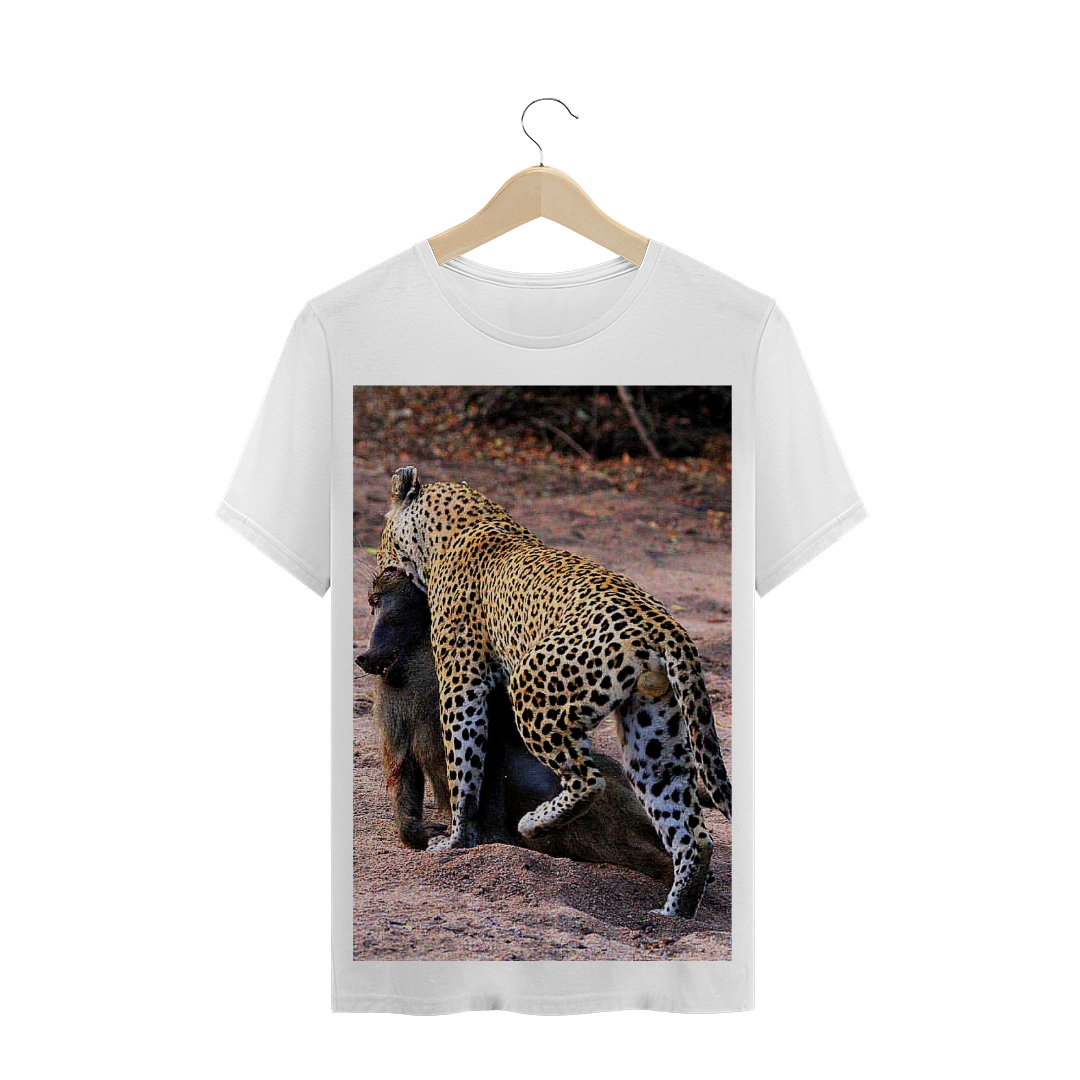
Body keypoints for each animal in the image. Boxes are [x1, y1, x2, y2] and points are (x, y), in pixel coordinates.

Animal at [377, 466, 732, 918]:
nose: (380, 569)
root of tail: (663, 625)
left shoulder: (462, 683)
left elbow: (463, 769)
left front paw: (456, 839)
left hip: (533, 691)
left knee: (589, 780)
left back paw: (534, 823)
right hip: (655, 734)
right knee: (692, 834)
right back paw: (674, 916)